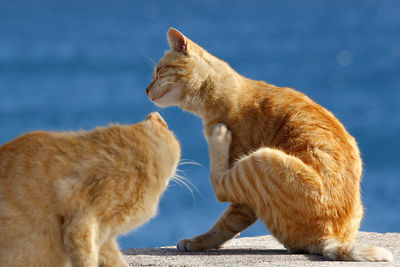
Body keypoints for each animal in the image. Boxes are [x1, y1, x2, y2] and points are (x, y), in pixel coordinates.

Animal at [145, 27, 392, 264]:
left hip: (260, 158)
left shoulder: (243, 190)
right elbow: (230, 224)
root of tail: (328, 237)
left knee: (219, 185)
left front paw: (198, 242)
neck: (222, 95)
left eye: (158, 71)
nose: (146, 91)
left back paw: (219, 138)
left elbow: (225, 219)